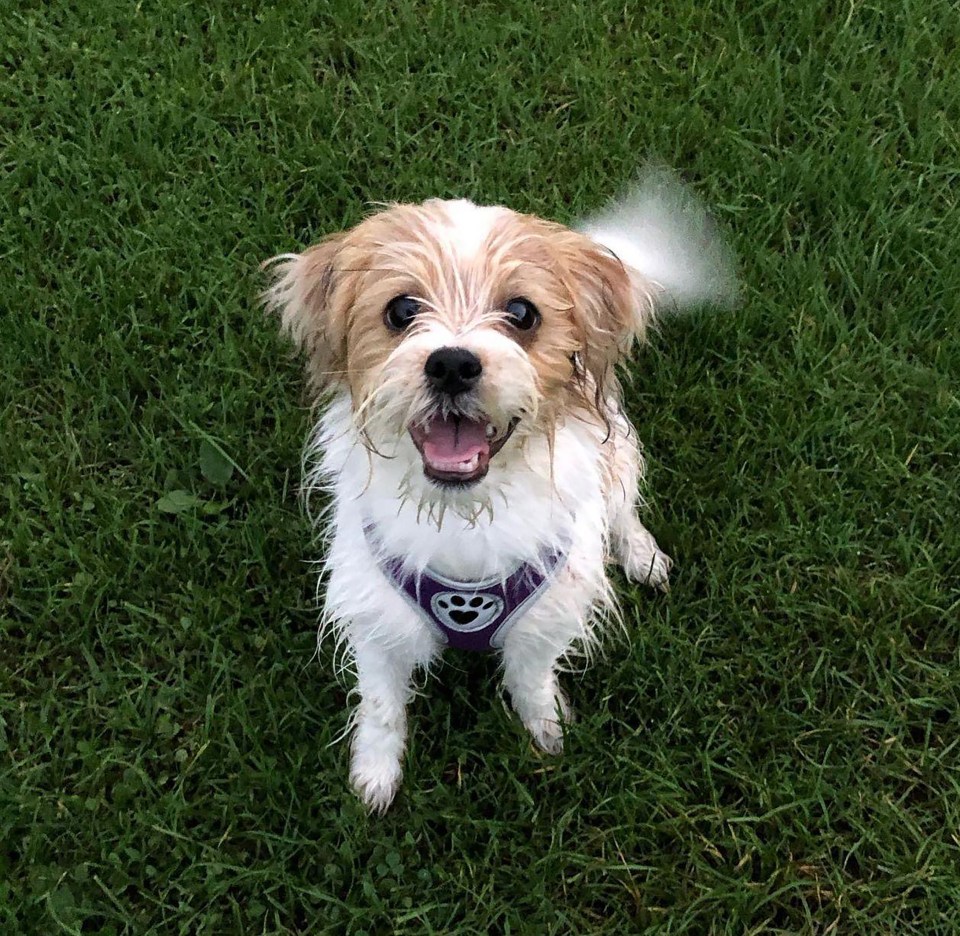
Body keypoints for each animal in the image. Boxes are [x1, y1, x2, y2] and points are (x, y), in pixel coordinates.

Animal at [264, 176, 736, 812]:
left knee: (622, 504)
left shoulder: (550, 608)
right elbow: (382, 704)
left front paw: (547, 730)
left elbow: (531, 677)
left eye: (521, 313)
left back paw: (642, 554)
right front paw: (375, 775)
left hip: (616, 451)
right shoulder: (375, 613)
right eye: (401, 310)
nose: (451, 363)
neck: (463, 513)